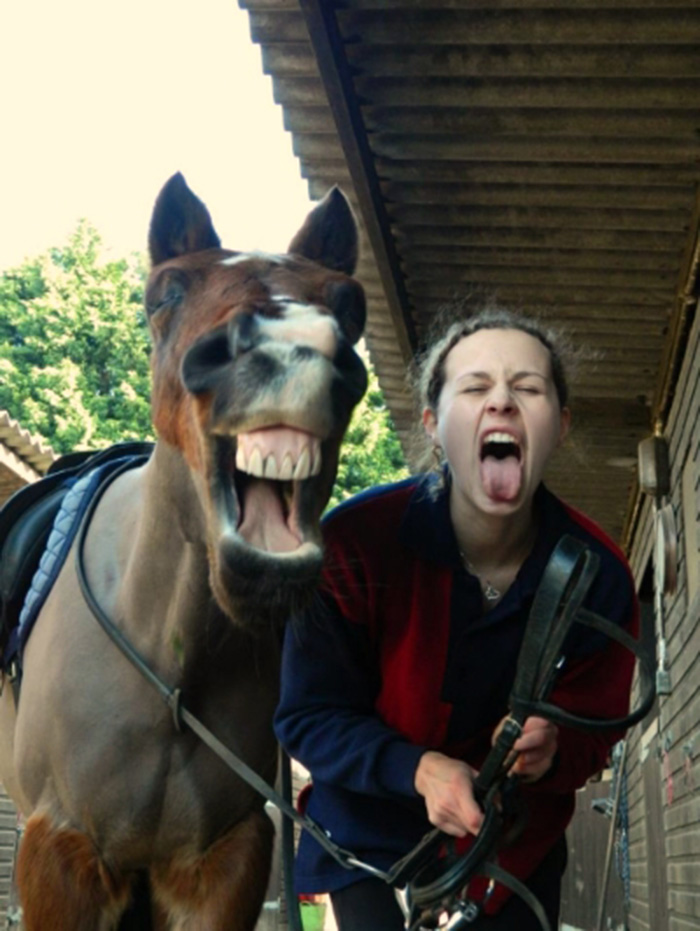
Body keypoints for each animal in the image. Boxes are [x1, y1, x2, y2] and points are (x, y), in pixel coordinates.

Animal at [0, 171, 370, 928]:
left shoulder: (220, 864)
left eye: (350, 304)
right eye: (167, 292)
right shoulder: (61, 855)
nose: (289, 343)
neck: (169, 672)